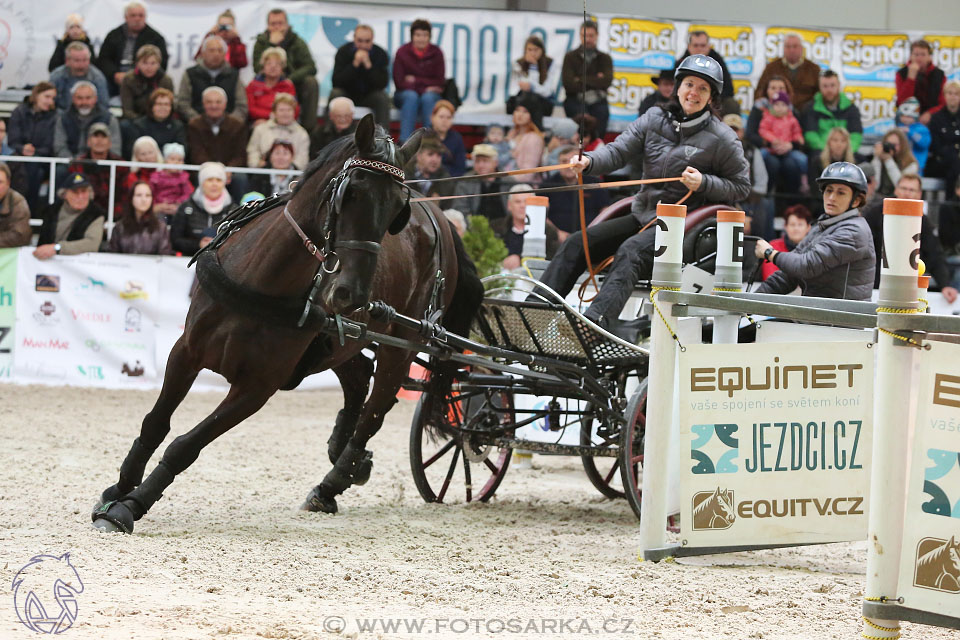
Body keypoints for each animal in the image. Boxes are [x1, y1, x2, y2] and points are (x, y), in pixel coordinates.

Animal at [92, 114, 480, 528]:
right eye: (352, 193)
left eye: (396, 212)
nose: (352, 294)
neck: (261, 280)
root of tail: (441, 221)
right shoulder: (187, 351)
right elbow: (155, 422)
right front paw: (117, 489)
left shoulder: (258, 387)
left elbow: (186, 445)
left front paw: (131, 504)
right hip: (340, 337)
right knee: (358, 378)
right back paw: (345, 454)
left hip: (401, 345)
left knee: (376, 409)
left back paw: (335, 479)